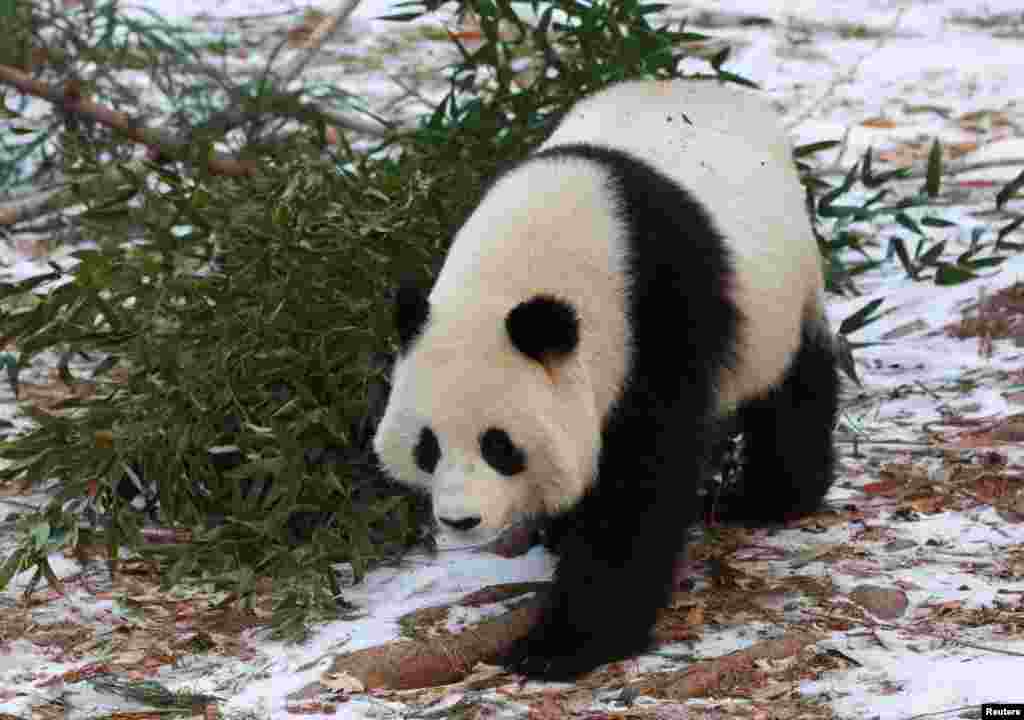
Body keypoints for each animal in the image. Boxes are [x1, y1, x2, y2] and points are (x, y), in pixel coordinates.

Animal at [372, 78, 835, 680]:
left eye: (500, 446)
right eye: (427, 447)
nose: (460, 519)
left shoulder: (655, 322)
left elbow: (638, 487)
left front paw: (562, 646)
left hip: (784, 291)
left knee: (792, 387)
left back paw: (768, 498)